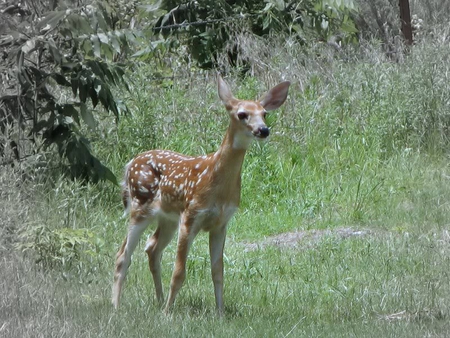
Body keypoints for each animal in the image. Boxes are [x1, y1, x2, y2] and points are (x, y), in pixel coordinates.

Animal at [112, 74, 288, 314]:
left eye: (264, 113)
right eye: (242, 114)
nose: (263, 130)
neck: (218, 186)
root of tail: (130, 163)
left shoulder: (221, 223)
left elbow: (218, 272)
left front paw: (220, 313)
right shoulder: (191, 215)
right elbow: (179, 272)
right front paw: (168, 314)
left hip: (168, 218)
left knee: (152, 248)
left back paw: (158, 300)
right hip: (140, 206)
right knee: (123, 255)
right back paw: (116, 306)